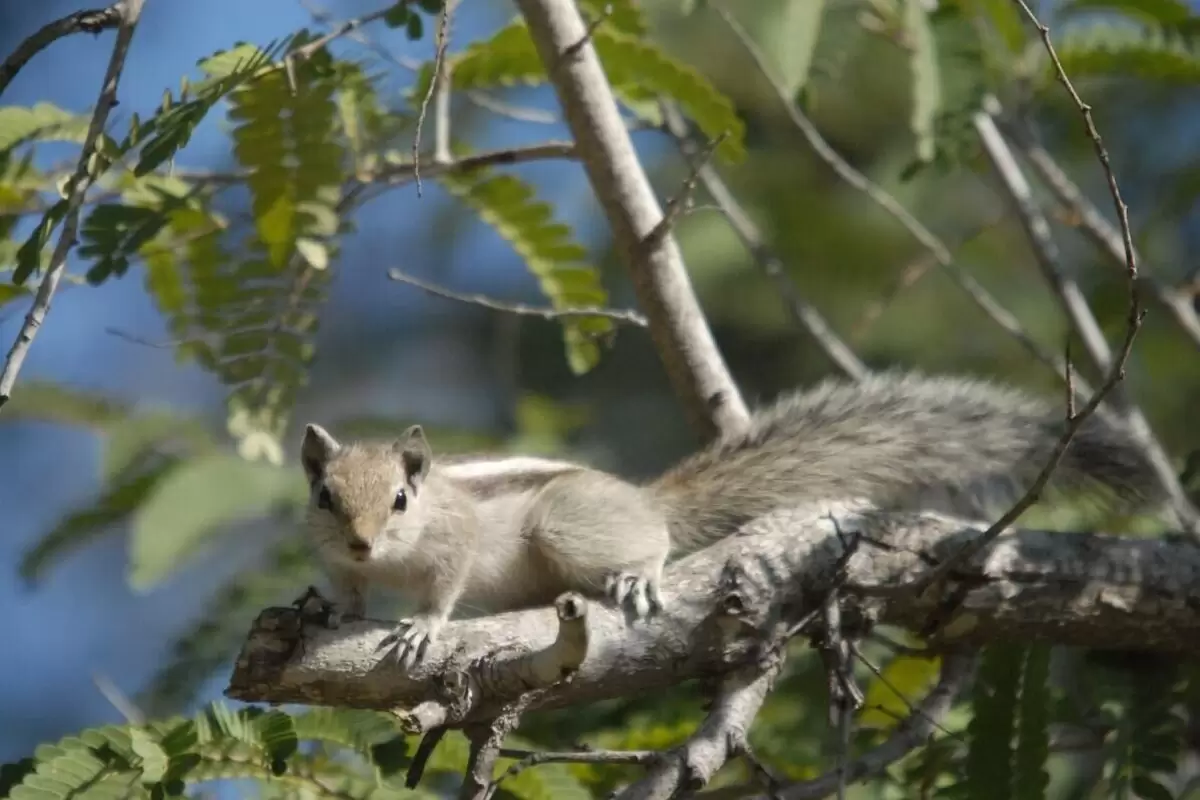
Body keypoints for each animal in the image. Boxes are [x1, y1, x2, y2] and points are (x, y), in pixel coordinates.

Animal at [295, 374, 1166, 671]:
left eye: (400, 501)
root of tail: (646, 497)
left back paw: (637, 572)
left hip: (566, 528)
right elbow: (344, 595)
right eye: (324, 498)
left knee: (652, 545)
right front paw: (324, 612)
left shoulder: (455, 544)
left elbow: (443, 590)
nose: (364, 541)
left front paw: (423, 627)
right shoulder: (338, 560)